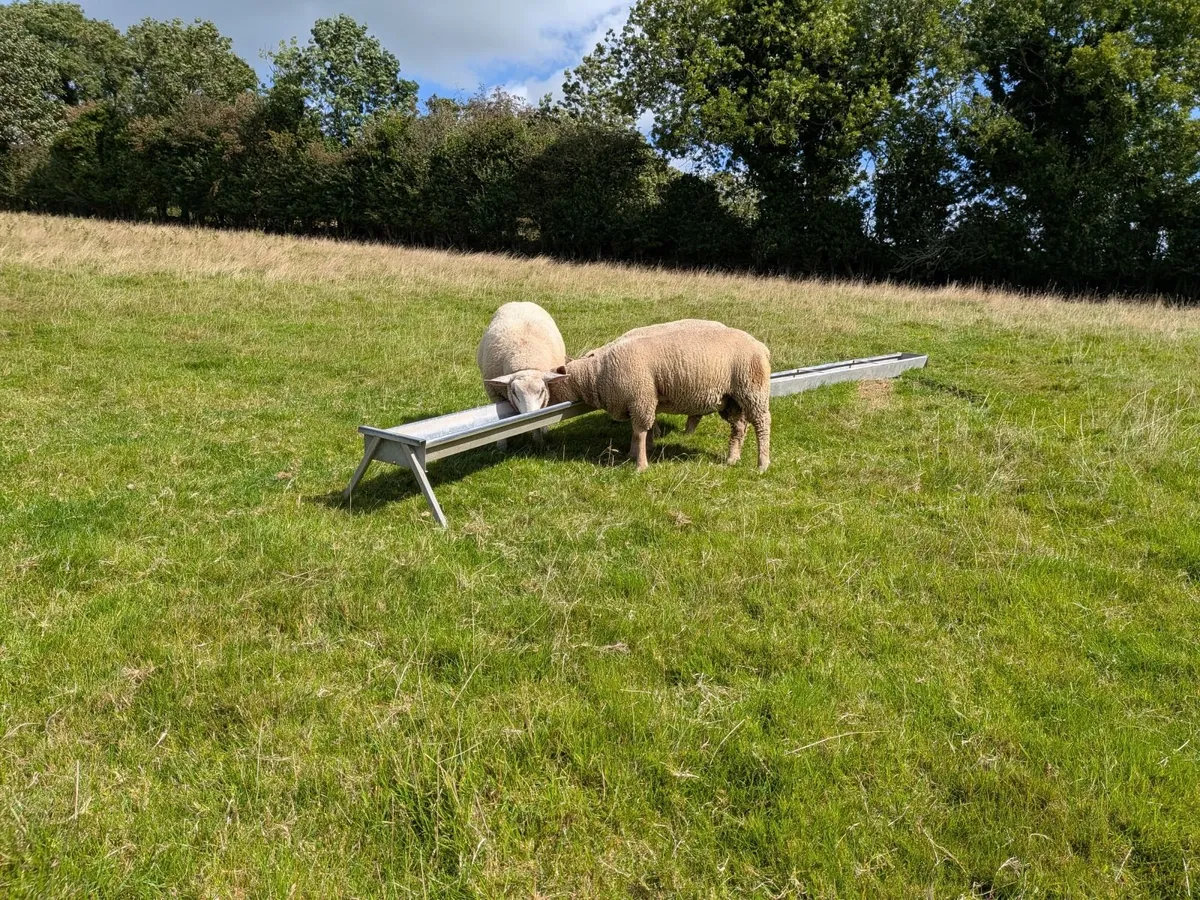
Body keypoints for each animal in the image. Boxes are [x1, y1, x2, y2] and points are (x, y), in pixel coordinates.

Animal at [477, 301, 569, 448]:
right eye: (514, 392)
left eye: (542, 391)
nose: (528, 416)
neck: (525, 359)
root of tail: (520, 302)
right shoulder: (495, 395)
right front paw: (501, 446)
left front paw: (538, 440)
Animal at [558, 319, 771, 472]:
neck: (597, 373)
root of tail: (761, 347)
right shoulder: (638, 401)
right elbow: (638, 431)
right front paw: (633, 453)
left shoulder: (642, 398)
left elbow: (640, 432)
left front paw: (641, 464)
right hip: (731, 399)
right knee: (739, 427)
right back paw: (732, 458)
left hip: (753, 390)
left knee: (762, 423)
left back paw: (762, 464)